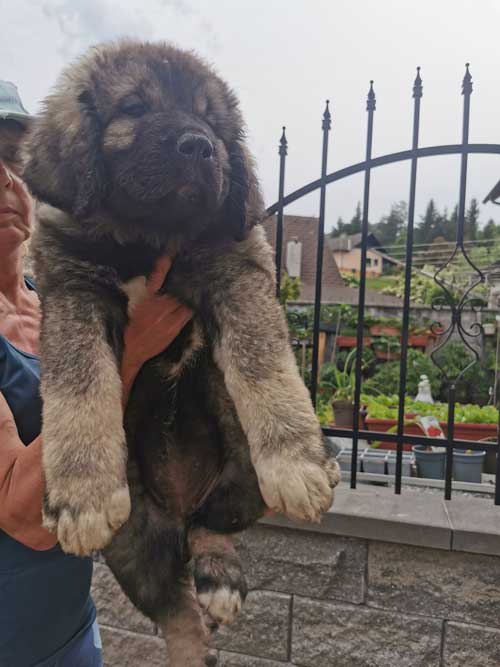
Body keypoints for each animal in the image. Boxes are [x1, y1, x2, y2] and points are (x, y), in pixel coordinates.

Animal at [24, 40, 340, 666]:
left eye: (212, 122)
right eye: (135, 108)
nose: (200, 145)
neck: (147, 236)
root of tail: (179, 505)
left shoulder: (235, 266)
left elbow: (263, 362)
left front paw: (298, 463)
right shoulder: (72, 287)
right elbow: (79, 382)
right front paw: (82, 493)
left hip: (240, 473)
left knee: (212, 528)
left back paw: (221, 572)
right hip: (132, 544)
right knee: (176, 612)